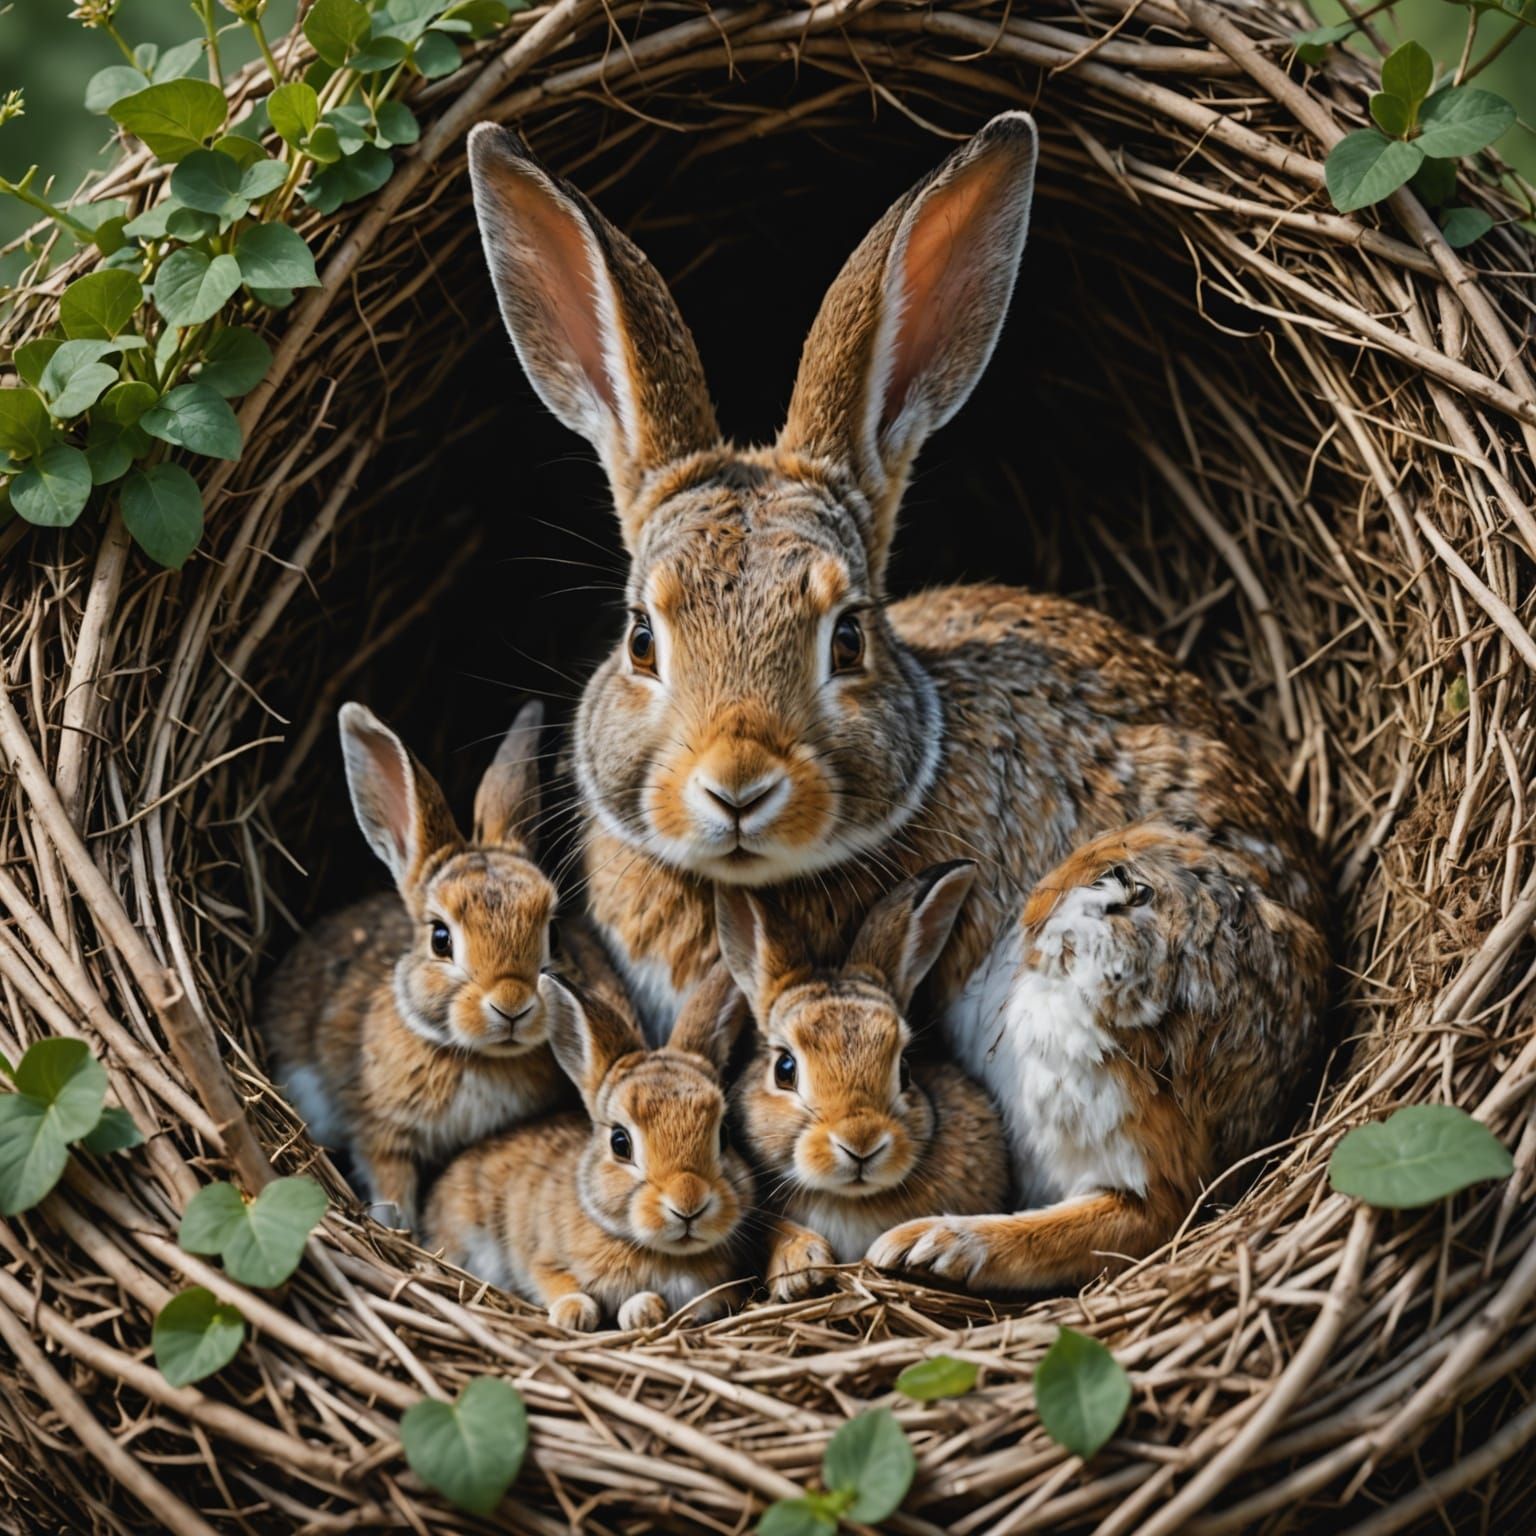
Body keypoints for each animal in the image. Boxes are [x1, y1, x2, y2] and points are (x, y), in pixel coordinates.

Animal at [261, 700, 572, 1231]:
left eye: (550, 933)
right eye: (441, 939)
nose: (512, 1005)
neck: (474, 1056)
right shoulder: (382, 1133)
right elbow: (390, 1183)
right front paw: (398, 1227)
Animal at [423, 971, 756, 1330]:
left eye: (723, 1135)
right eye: (620, 1143)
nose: (688, 1203)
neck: (657, 1251)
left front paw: (643, 1311)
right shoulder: (543, 1258)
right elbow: (557, 1281)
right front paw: (575, 1313)